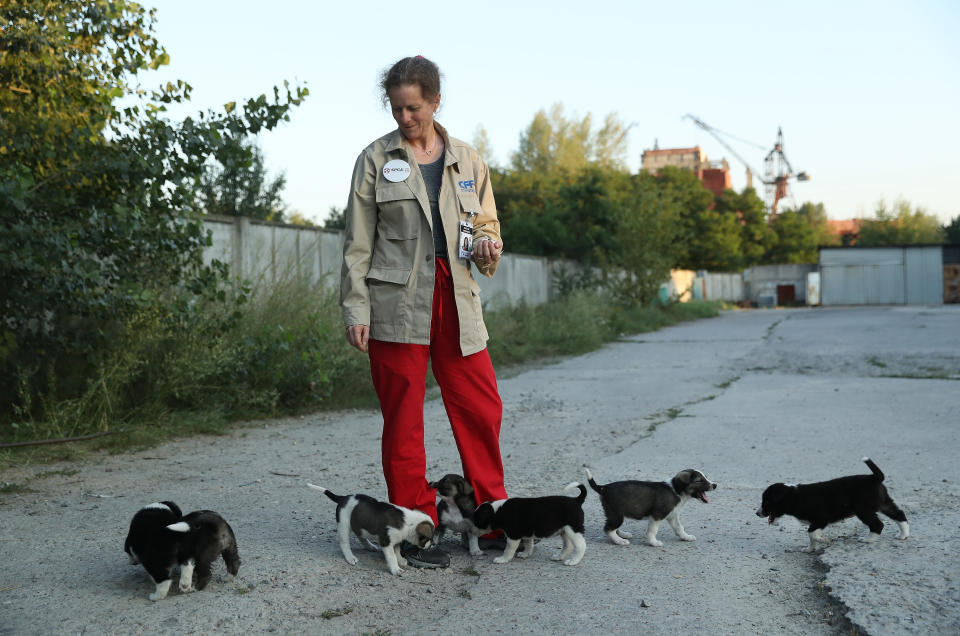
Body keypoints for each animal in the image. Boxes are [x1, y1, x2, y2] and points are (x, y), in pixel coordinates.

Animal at [308, 482, 436, 576]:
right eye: (428, 538)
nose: (432, 545)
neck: (408, 522)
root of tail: (343, 498)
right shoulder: (386, 542)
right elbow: (392, 557)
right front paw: (395, 569)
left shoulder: (395, 540)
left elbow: (397, 551)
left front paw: (400, 560)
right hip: (344, 524)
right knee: (344, 544)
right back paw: (350, 557)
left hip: (359, 524)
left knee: (361, 536)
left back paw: (370, 546)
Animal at [580, 464, 716, 548]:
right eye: (699, 481)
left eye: (706, 477)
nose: (715, 485)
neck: (676, 490)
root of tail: (603, 488)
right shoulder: (657, 515)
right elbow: (652, 530)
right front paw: (653, 543)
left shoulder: (672, 515)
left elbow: (679, 528)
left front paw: (686, 537)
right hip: (616, 513)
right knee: (608, 529)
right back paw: (620, 541)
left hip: (615, 514)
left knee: (613, 527)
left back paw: (623, 534)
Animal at [756, 458, 908, 552]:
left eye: (767, 502)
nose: (757, 513)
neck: (793, 496)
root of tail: (874, 477)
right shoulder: (816, 521)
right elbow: (811, 537)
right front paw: (810, 549)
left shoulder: (821, 519)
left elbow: (812, 534)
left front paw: (825, 541)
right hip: (884, 503)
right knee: (899, 514)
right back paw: (903, 535)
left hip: (863, 510)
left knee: (878, 524)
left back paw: (868, 540)